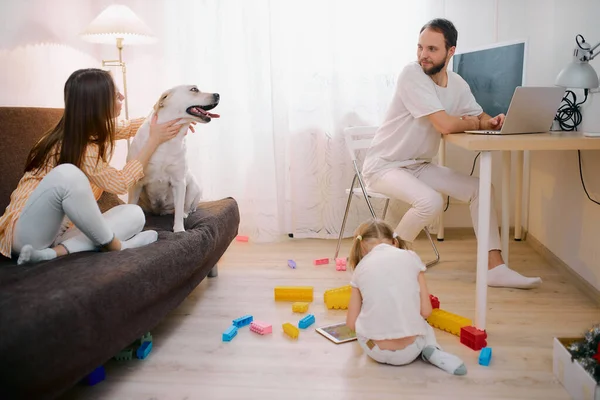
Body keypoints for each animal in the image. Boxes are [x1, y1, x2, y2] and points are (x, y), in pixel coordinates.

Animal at [128, 86, 220, 233]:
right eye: (194, 89)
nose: (217, 94)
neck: (166, 141)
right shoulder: (136, 182)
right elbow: (131, 204)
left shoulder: (179, 182)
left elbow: (179, 210)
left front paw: (179, 230)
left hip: (193, 187)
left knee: (186, 207)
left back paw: (185, 213)